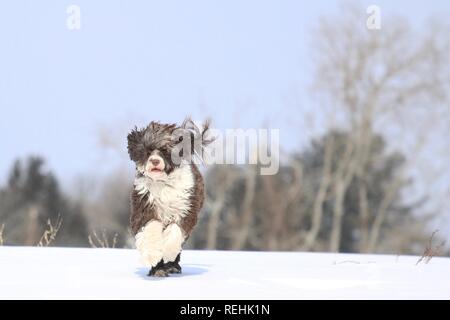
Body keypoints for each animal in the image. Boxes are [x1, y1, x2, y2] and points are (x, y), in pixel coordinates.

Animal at [125, 119, 212, 276]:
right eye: (148, 150)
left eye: (165, 150)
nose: (154, 161)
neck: (163, 184)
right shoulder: (143, 208)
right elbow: (150, 228)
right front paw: (152, 255)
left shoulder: (186, 209)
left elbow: (175, 231)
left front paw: (166, 252)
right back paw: (158, 270)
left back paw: (172, 266)